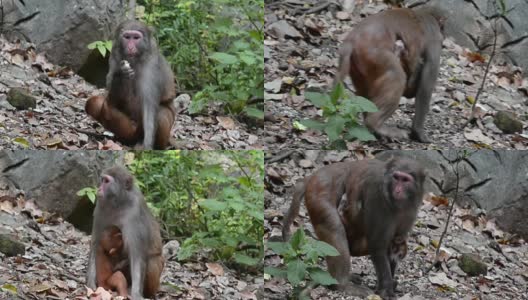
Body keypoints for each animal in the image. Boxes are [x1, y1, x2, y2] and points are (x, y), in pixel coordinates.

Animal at [85, 0, 176, 149]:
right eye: (127, 37)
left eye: (136, 37)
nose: (131, 47)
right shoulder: (115, 55)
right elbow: (112, 96)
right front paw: (121, 74)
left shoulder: (152, 65)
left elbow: (149, 106)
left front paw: (148, 146)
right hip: (130, 130)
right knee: (96, 104)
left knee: (161, 114)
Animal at [85, 165, 164, 298]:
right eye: (102, 180)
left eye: (106, 181)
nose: (99, 188)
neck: (119, 203)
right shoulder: (100, 206)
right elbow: (95, 243)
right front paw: (90, 282)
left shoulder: (135, 213)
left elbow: (137, 256)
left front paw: (136, 294)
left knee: (152, 262)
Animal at [282, 158, 426, 298]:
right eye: (397, 178)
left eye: (405, 180)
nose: (398, 190)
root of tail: (314, 175)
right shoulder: (378, 197)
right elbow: (378, 246)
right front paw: (386, 289)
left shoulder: (411, 209)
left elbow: (396, 243)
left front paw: (389, 283)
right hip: (318, 194)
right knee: (335, 227)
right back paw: (341, 284)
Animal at [334, 7, 446, 143]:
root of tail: (351, 40)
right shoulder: (434, 36)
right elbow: (427, 80)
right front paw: (418, 133)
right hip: (374, 54)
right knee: (396, 75)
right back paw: (376, 124)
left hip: (358, 68)